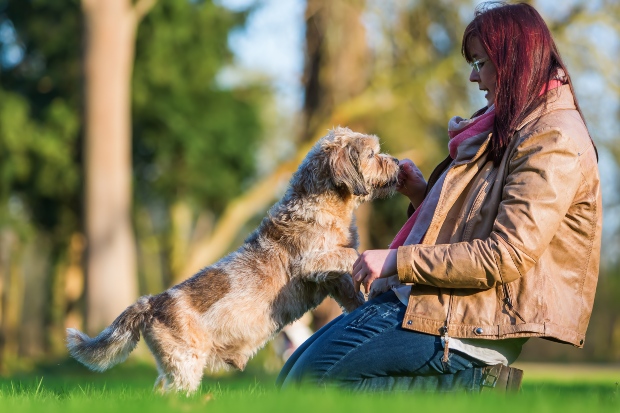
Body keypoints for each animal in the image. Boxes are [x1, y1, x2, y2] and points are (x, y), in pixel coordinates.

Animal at [65, 128, 400, 392]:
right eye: (372, 153)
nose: (397, 162)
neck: (323, 205)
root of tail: (151, 303)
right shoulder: (312, 263)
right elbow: (352, 255)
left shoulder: (333, 279)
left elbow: (350, 292)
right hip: (186, 365)